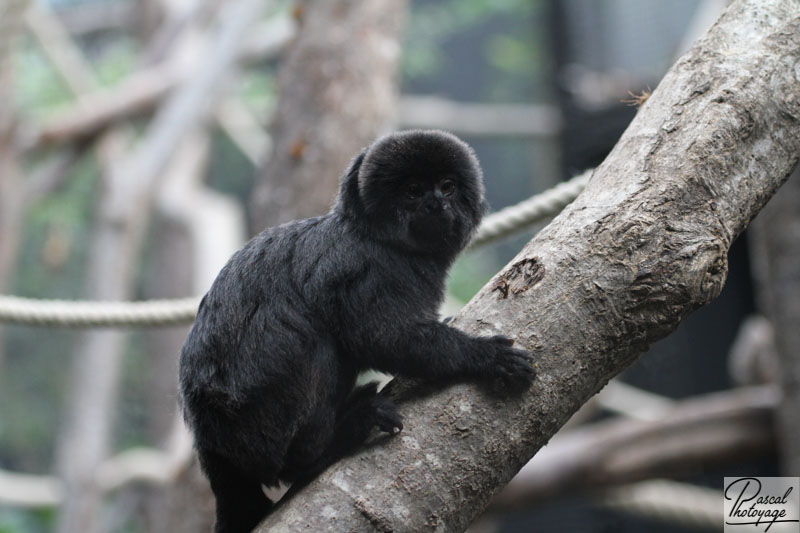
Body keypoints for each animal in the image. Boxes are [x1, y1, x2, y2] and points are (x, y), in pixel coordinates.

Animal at [178, 130, 536, 532]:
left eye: (446, 186)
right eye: (412, 191)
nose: (435, 203)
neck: (379, 237)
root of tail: (210, 442)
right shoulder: (369, 269)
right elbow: (383, 337)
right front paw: (485, 357)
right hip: (260, 424)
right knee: (318, 349)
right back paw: (331, 443)